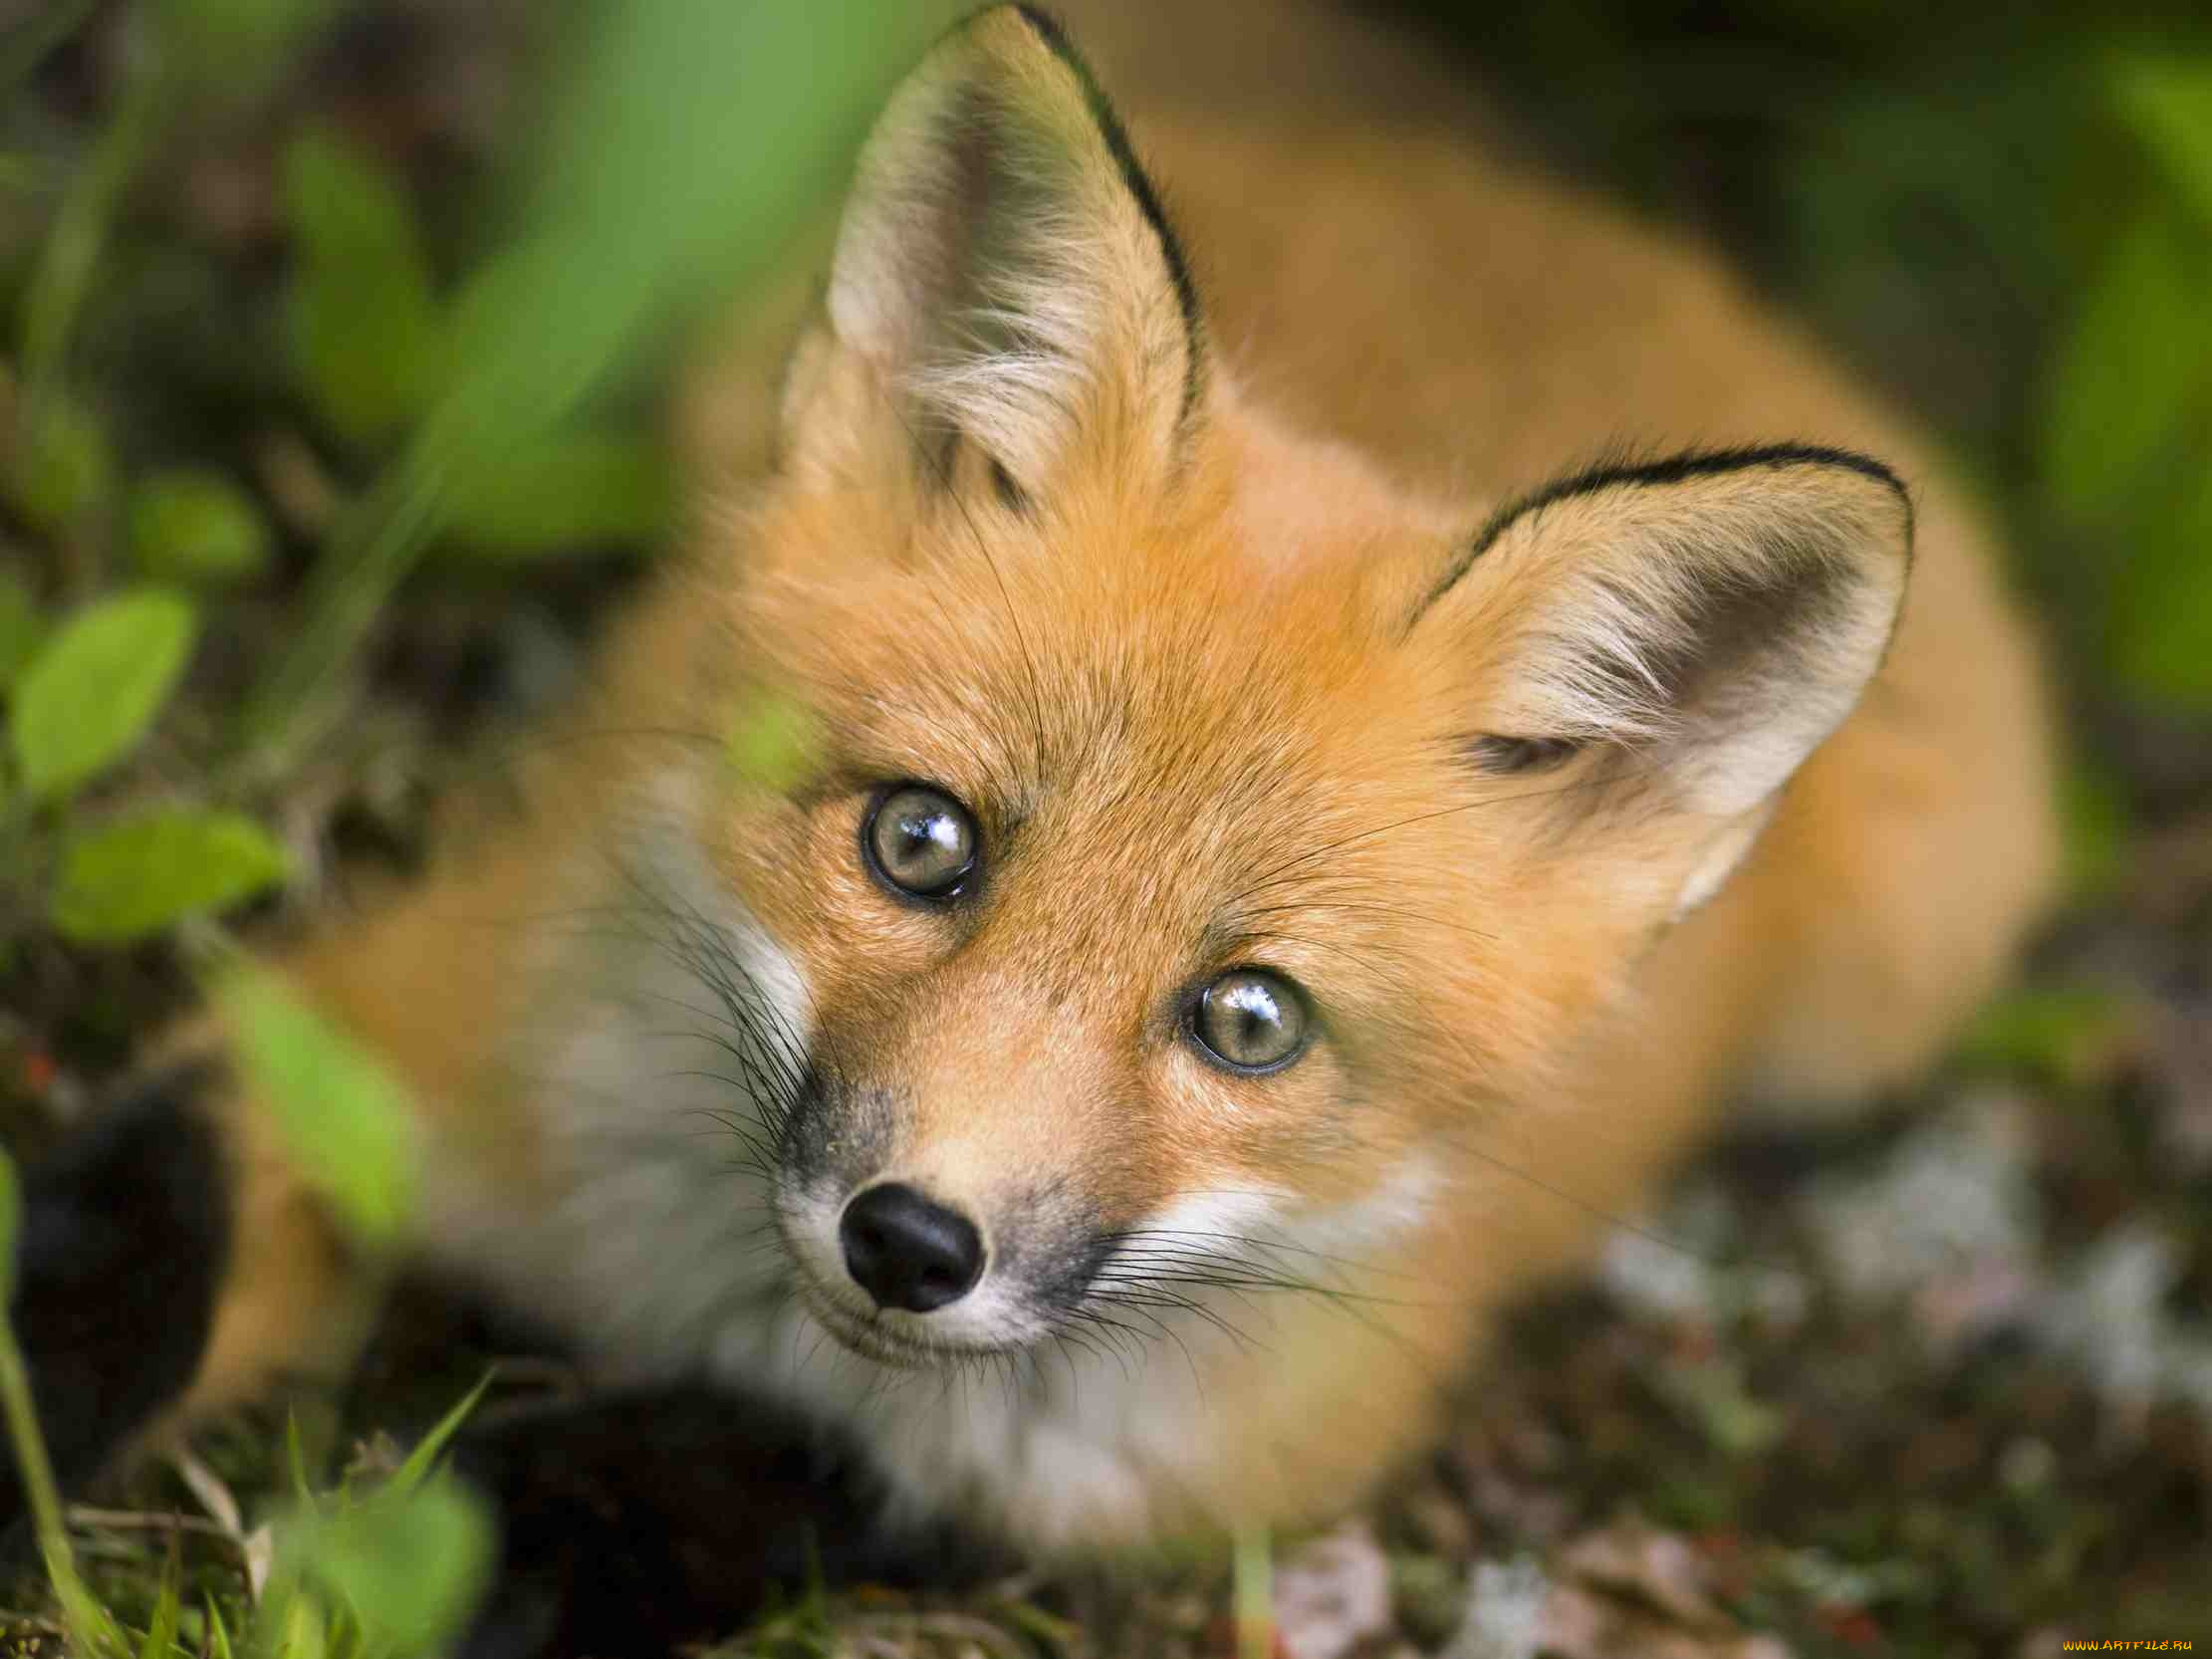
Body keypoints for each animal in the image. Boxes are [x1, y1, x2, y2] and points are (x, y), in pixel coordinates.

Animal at [7, 0, 2057, 1644]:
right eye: (921, 843)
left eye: (1249, 1019)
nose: (911, 1243)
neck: (692, 1278)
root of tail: (1590, 224)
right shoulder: (372, 1026)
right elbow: (121, 1250)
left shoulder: (1175, 1458)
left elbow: (770, 1467)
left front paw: (466, 1537)